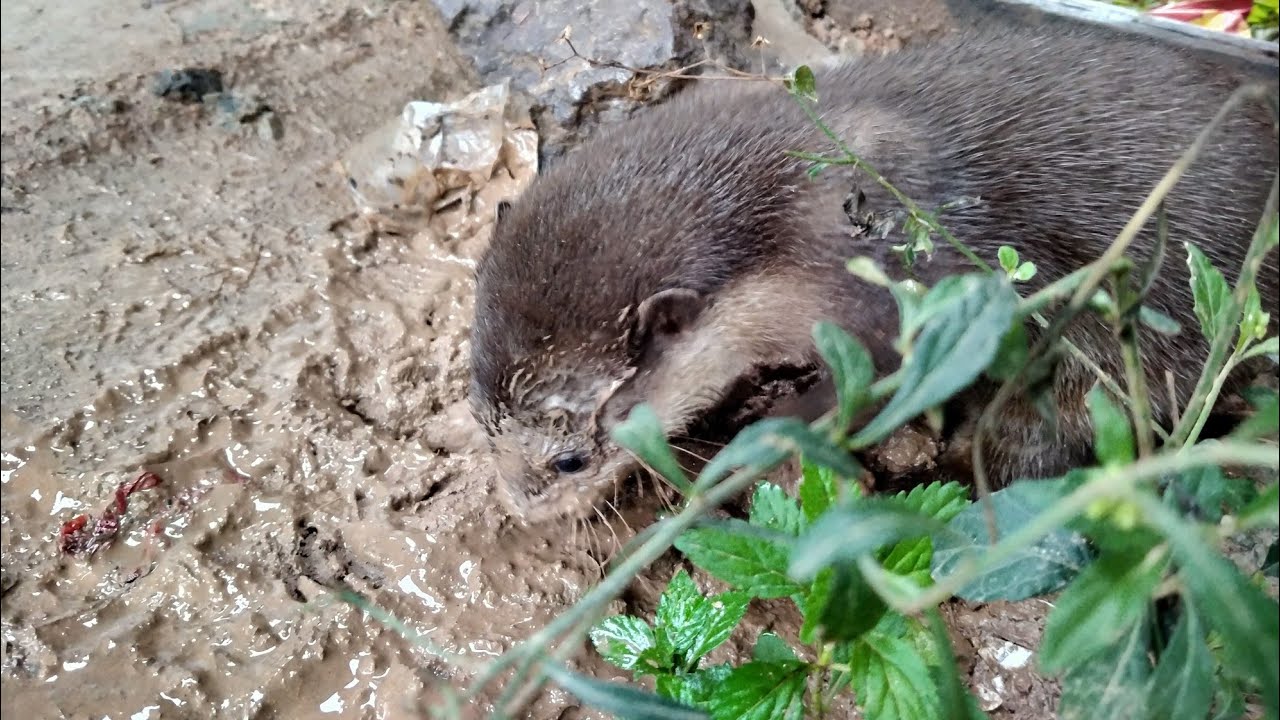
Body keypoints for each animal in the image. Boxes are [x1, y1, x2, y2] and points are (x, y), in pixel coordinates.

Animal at [468, 24, 1279, 522]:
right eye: (481, 425)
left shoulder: (894, 299)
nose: (517, 504)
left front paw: (746, 446)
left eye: (571, 460)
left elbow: (867, 384)